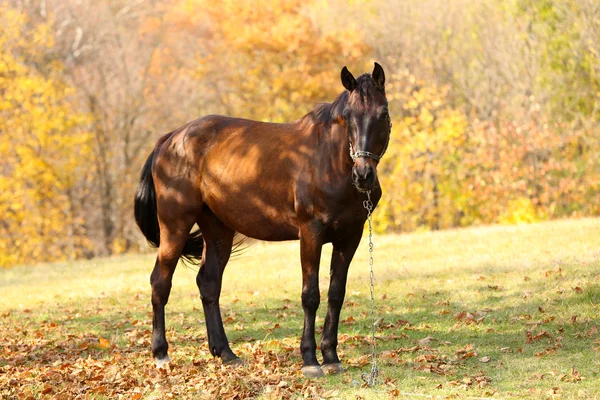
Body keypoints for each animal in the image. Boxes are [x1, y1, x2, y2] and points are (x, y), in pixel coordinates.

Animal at [134, 62, 392, 378]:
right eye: (348, 117)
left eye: (383, 113)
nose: (363, 175)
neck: (328, 161)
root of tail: (170, 139)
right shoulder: (311, 234)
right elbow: (310, 295)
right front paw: (310, 359)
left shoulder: (349, 237)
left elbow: (336, 293)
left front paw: (331, 356)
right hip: (175, 227)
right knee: (160, 282)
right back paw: (161, 354)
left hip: (218, 230)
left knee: (208, 284)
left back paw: (226, 353)